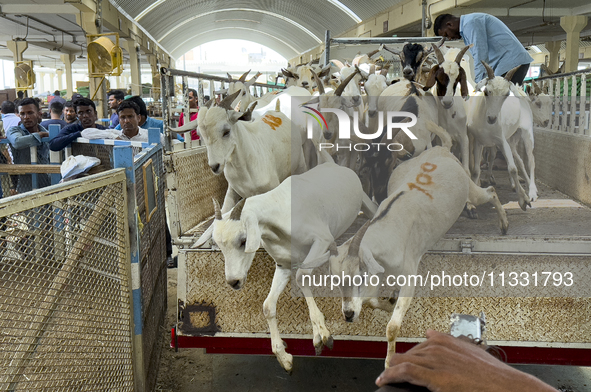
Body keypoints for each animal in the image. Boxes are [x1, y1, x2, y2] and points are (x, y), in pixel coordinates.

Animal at [206, 163, 376, 374]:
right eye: (219, 245)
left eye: (243, 240)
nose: (233, 281)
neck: (281, 212)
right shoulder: (283, 265)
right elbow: (267, 306)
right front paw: (284, 356)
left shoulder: (322, 240)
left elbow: (302, 275)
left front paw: (322, 334)